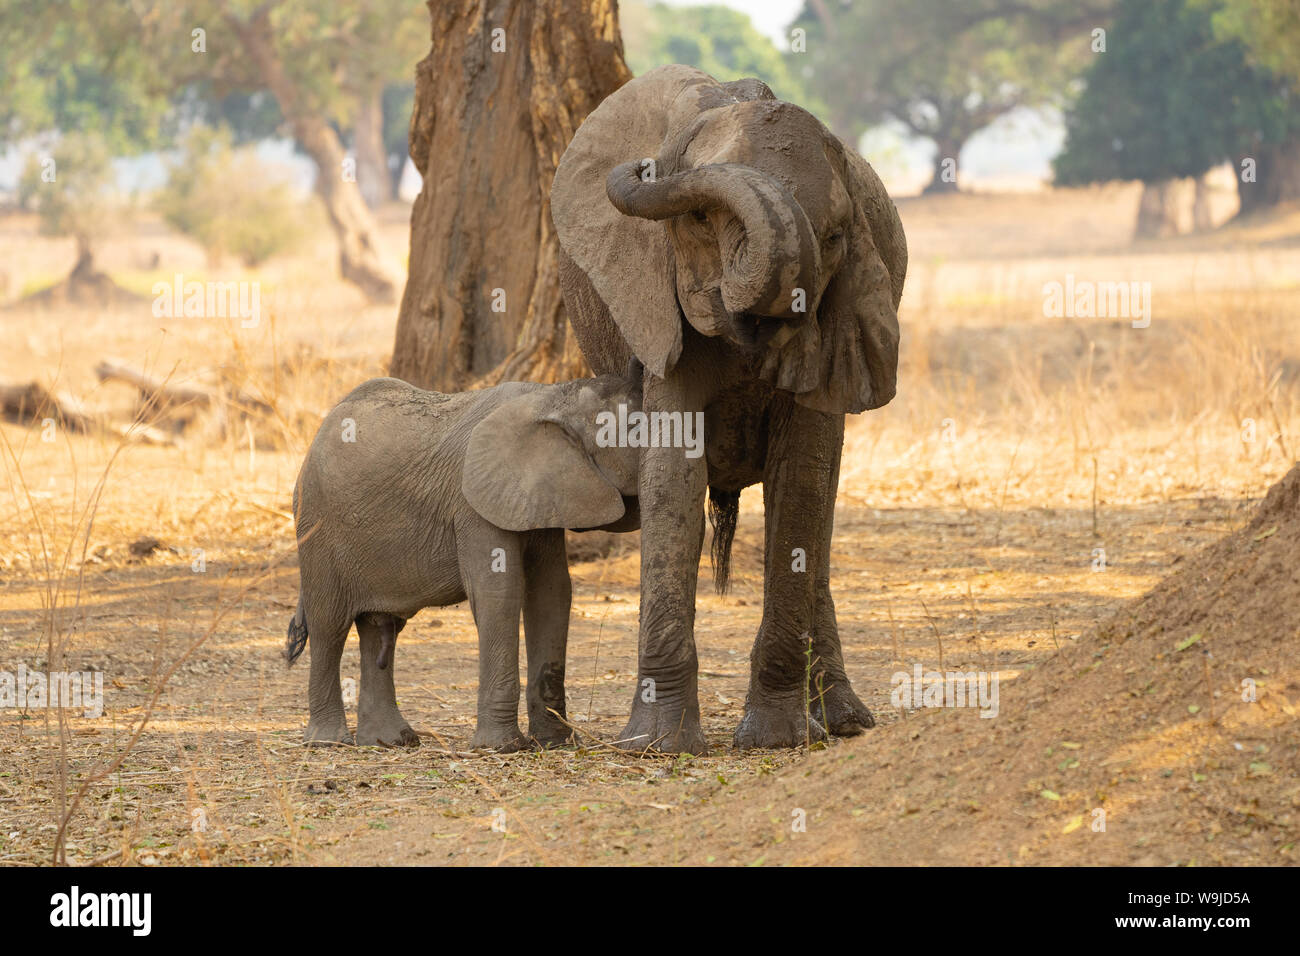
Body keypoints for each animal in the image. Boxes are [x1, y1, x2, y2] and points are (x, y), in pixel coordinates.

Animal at [289, 374, 644, 754]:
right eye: (637, 429)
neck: (554, 396)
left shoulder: (541, 497)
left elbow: (551, 592)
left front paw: (555, 742)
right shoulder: (473, 505)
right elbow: (498, 592)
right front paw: (502, 747)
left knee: (380, 627)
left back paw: (391, 741)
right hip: (316, 526)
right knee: (329, 625)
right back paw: (328, 742)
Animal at [551, 67, 904, 754]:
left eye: (835, 238)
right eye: (697, 219)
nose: (645, 168)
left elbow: (802, 482)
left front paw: (773, 740)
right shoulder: (658, 306)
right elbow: (673, 481)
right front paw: (658, 746)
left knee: (820, 517)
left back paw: (842, 723)